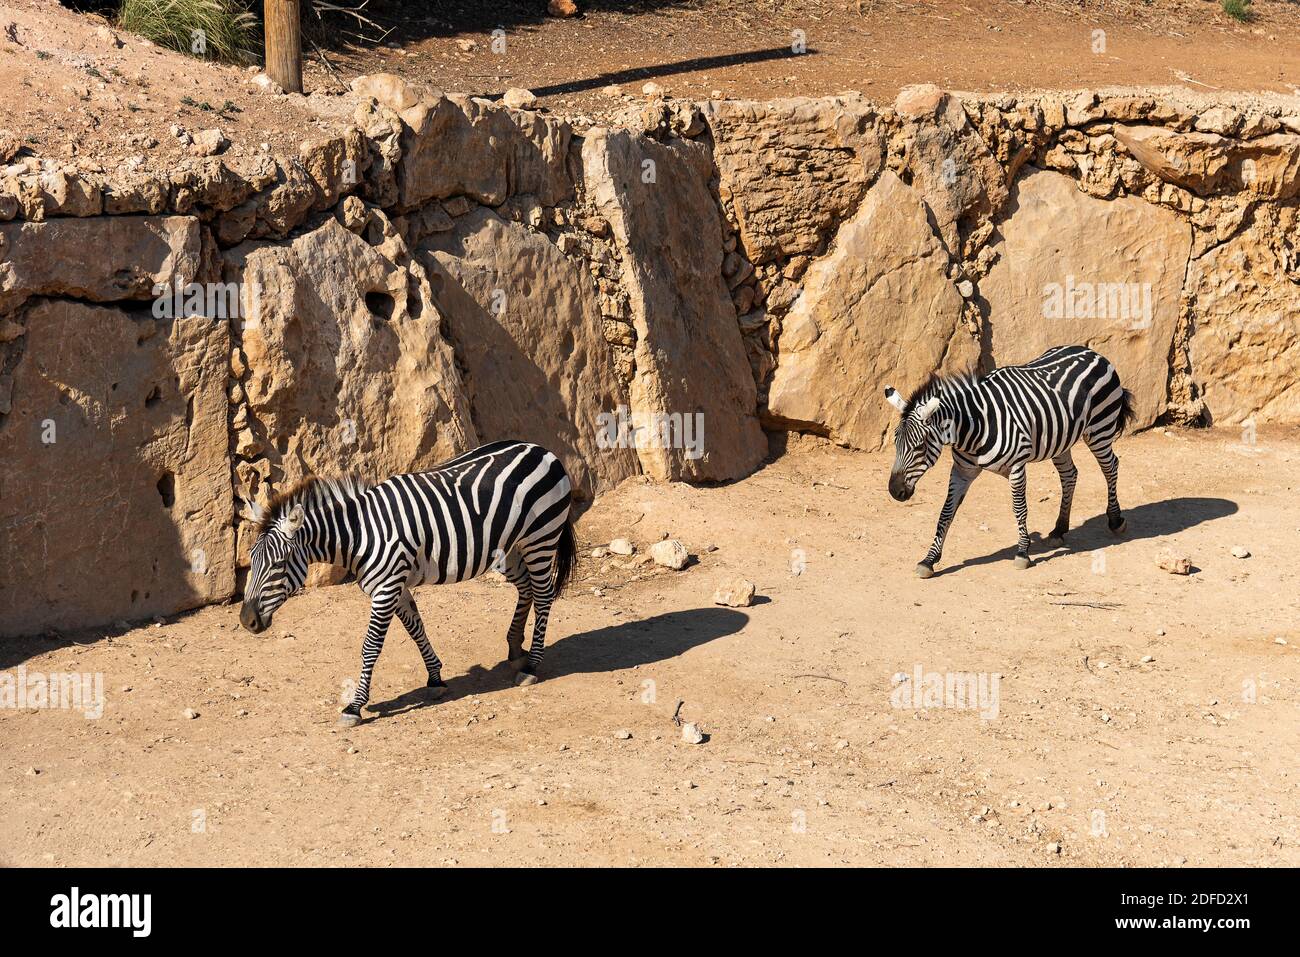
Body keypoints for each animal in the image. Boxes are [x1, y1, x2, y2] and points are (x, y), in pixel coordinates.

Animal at [235, 442, 579, 722]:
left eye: (278, 564)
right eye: (251, 559)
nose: (246, 621)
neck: (359, 533)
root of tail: (541, 448)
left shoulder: (386, 588)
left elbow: (371, 646)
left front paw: (355, 706)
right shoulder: (393, 585)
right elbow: (416, 628)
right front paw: (436, 679)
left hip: (541, 536)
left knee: (544, 594)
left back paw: (531, 665)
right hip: (508, 548)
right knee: (526, 588)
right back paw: (515, 648)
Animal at [889, 348, 1133, 579]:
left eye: (920, 447)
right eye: (895, 442)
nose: (894, 491)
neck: (974, 427)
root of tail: (1094, 353)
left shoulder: (1016, 468)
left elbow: (1019, 508)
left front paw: (1023, 553)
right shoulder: (962, 471)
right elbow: (945, 513)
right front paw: (929, 560)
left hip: (1100, 429)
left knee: (1111, 466)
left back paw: (1115, 519)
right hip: (1061, 439)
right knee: (1069, 474)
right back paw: (1059, 529)